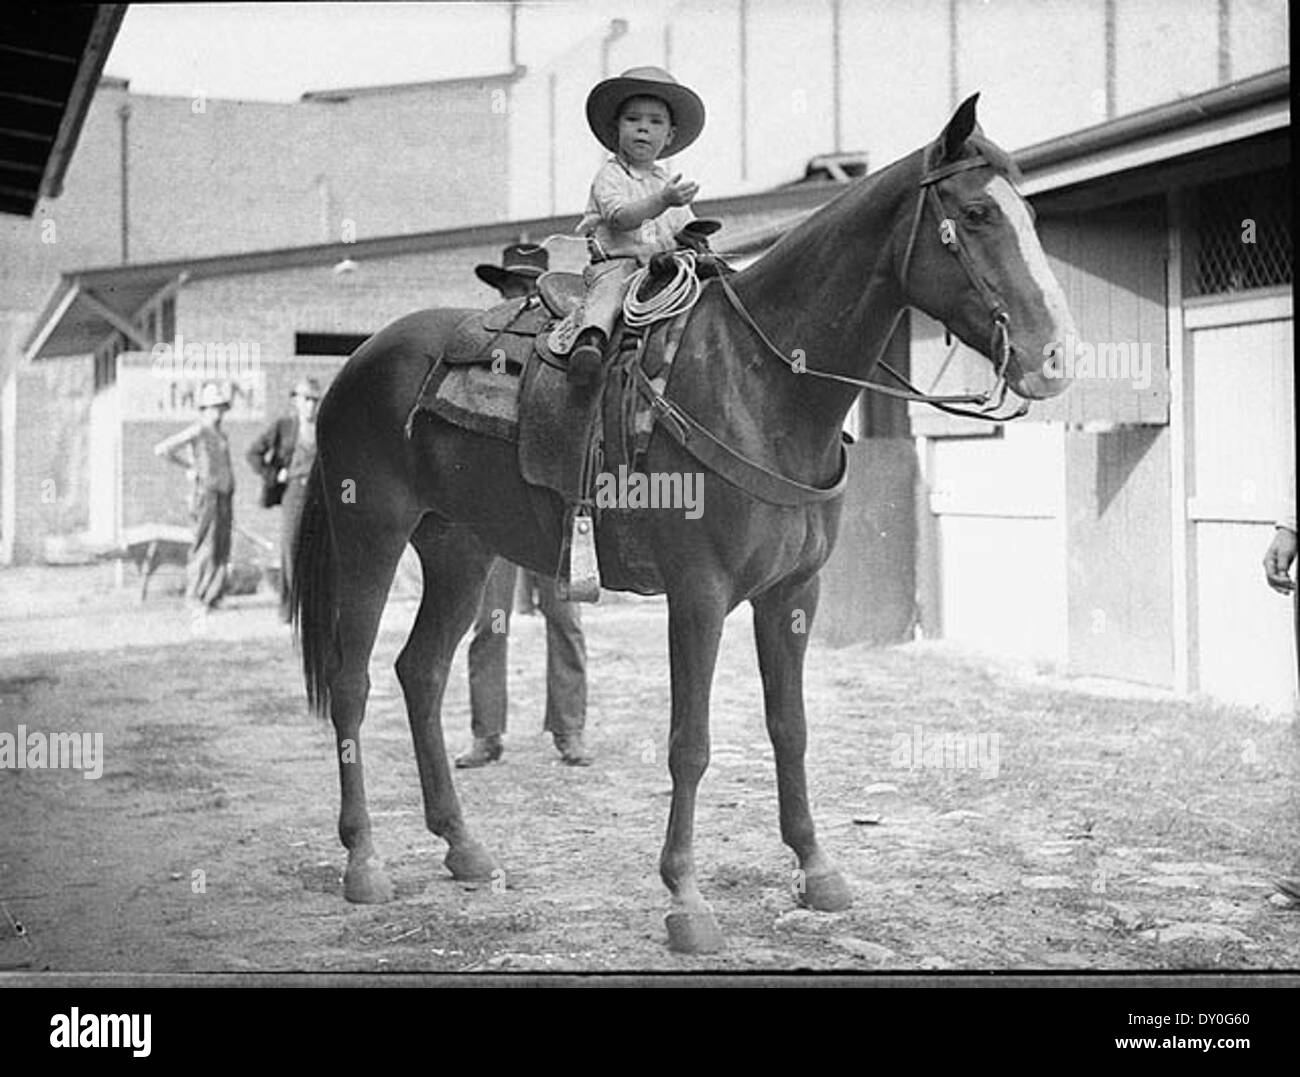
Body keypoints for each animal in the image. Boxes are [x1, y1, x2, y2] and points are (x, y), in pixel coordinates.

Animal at [292, 92, 1076, 952]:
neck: (762, 385)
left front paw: (817, 869)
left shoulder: (793, 594)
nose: (1055, 357)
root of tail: (358, 361)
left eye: (1030, 213)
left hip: (459, 549)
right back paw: (364, 860)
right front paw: (686, 899)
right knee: (353, 679)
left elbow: (789, 727)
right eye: (975, 213)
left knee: (421, 671)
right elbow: (691, 744)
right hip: (372, 533)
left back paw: (464, 848)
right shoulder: (698, 594)